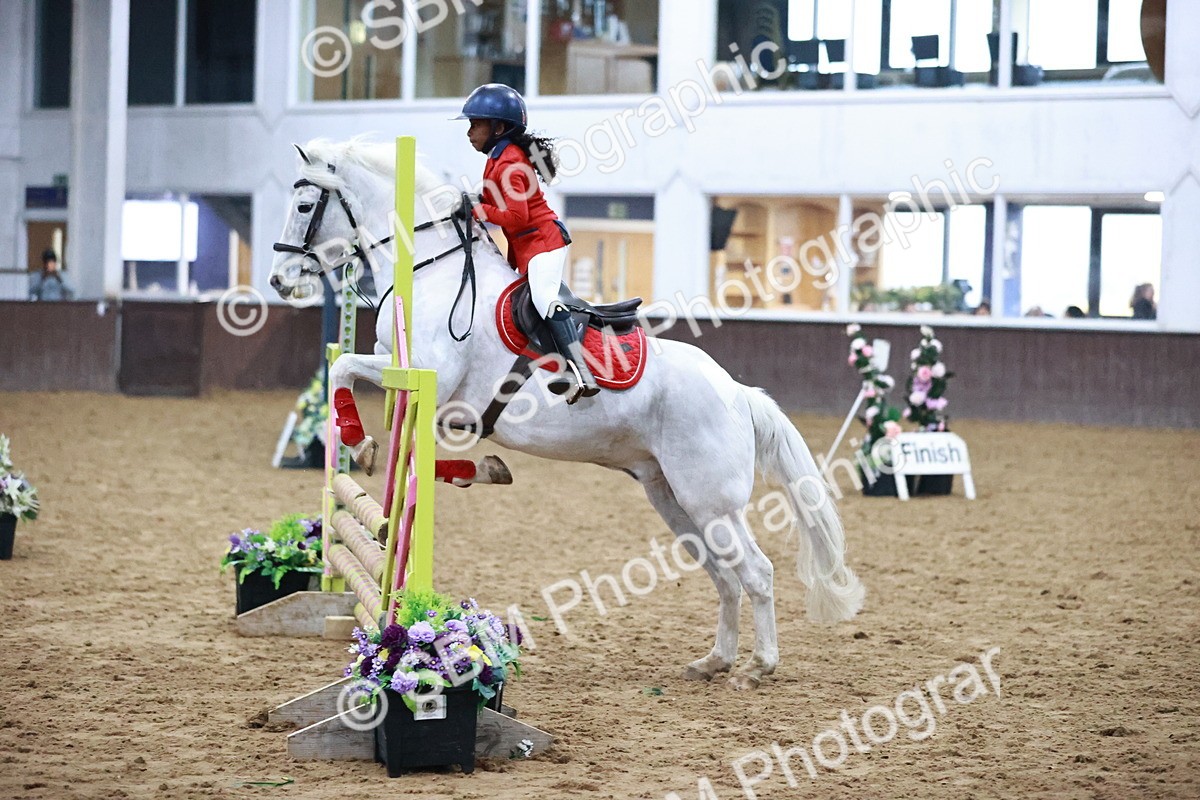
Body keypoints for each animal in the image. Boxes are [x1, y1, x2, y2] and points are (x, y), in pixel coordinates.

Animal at [268, 138, 864, 690]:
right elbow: (352, 378)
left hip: (710, 500)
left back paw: (759, 667)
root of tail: (737, 391)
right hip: (671, 497)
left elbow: (348, 371)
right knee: (724, 575)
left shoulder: (431, 382)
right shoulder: (409, 380)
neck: (434, 269)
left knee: (756, 571)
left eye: (304, 205)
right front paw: (463, 465)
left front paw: (360, 441)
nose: (279, 281)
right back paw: (715, 661)